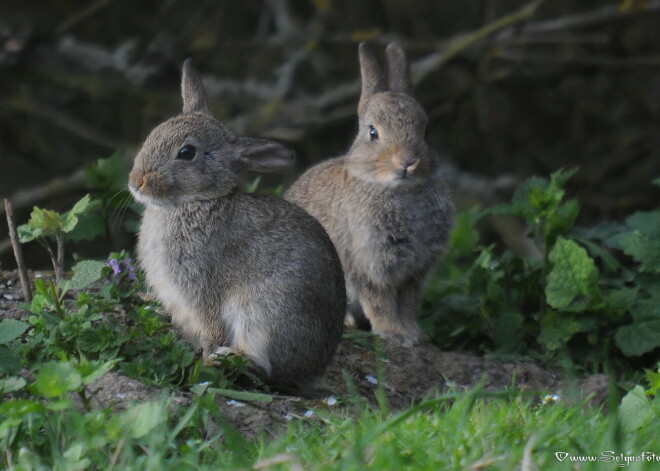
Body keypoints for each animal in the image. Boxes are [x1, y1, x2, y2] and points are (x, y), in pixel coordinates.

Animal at [128, 60, 346, 390]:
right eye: (154, 133)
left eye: (186, 153)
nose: (136, 181)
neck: (197, 201)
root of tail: (311, 370)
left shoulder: (203, 292)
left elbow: (211, 329)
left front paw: (204, 359)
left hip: (263, 314)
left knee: (265, 371)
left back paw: (225, 360)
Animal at [286, 43, 456, 346]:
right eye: (373, 133)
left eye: (426, 132)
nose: (407, 161)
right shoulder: (370, 264)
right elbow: (380, 302)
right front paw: (394, 334)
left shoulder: (414, 272)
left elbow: (407, 303)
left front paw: (413, 334)